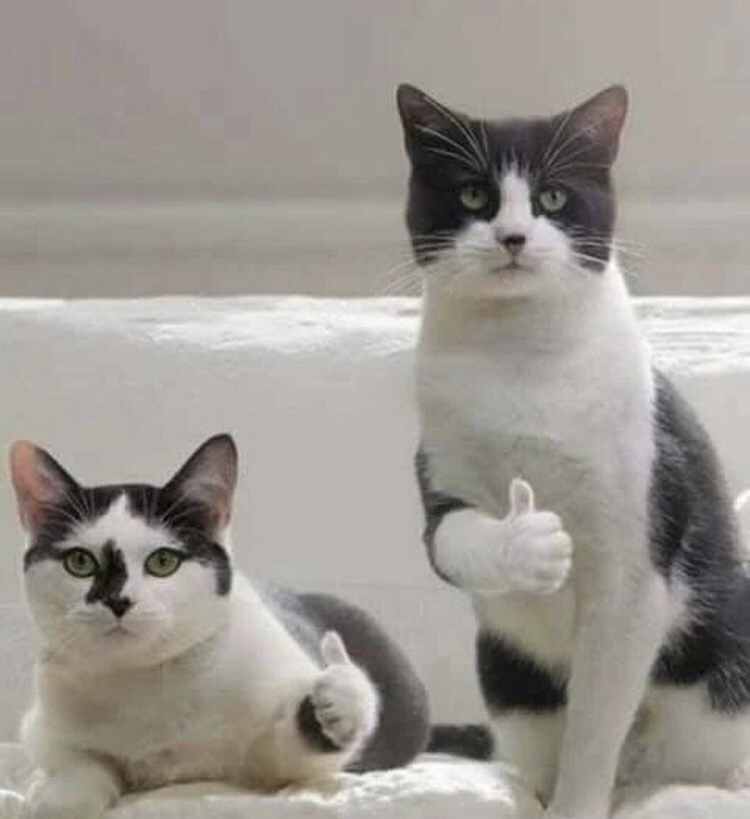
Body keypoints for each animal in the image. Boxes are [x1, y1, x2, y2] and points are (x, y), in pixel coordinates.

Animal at [9, 434, 430, 819]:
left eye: (163, 562)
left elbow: (294, 757)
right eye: (80, 562)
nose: (118, 601)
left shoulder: (269, 757)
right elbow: (76, 760)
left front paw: (342, 697)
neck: (147, 679)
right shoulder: (42, 724)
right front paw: (59, 795)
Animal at [396, 83, 750, 819]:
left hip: (721, 672)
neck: (519, 358)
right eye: (473, 194)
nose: (512, 237)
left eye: (553, 197)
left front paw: (578, 805)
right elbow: (452, 539)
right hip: (508, 674)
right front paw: (527, 542)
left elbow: (595, 721)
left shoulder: (633, 558)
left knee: (679, 759)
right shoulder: (441, 467)